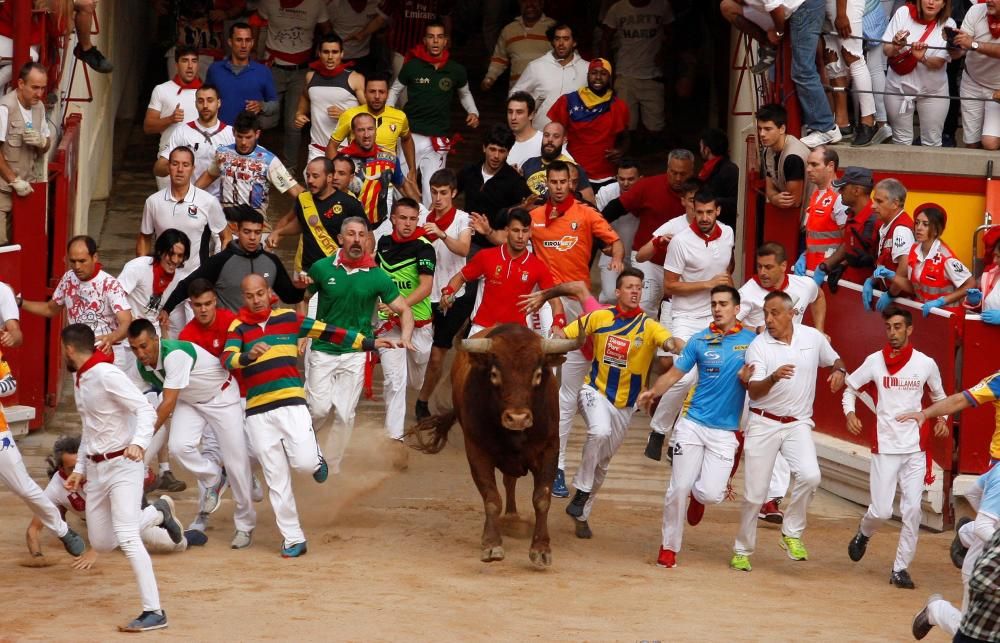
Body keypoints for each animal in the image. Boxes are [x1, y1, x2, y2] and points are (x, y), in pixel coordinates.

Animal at [406, 328, 580, 568]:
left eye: (537, 374)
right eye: (495, 374)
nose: (518, 418)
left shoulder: (550, 449)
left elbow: (542, 498)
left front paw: (541, 549)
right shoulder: (477, 453)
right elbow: (491, 498)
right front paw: (491, 544)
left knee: (510, 481)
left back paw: (513, 517)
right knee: (507, 483)